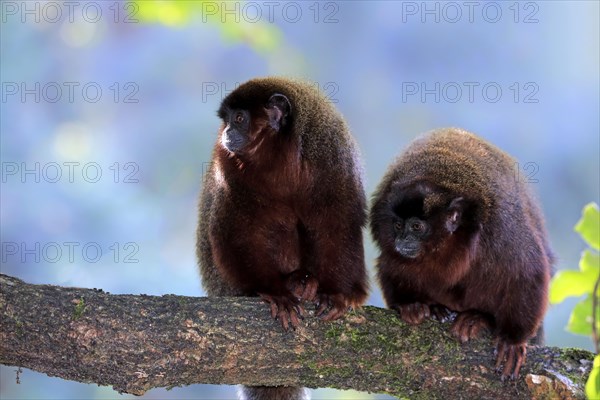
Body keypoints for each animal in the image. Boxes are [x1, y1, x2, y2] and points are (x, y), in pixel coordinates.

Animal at [197, 76, 368, 398]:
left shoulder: (331, 152)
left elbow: (338, 224)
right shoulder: (228, 165)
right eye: (227, 120)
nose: (227, 132)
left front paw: (335, 293)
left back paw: (305, 281)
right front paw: (273, 292)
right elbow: (235, 233)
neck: (281, 158)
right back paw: (291, 282)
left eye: (239, 119)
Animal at [370, 126, 552, 380]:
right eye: (398, 225)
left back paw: (479, 318)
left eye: (416, 226)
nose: (402, 240)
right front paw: (410, 304)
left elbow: (527, 271)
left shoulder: (500, 228)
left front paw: (512, 339)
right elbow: (390, 265)